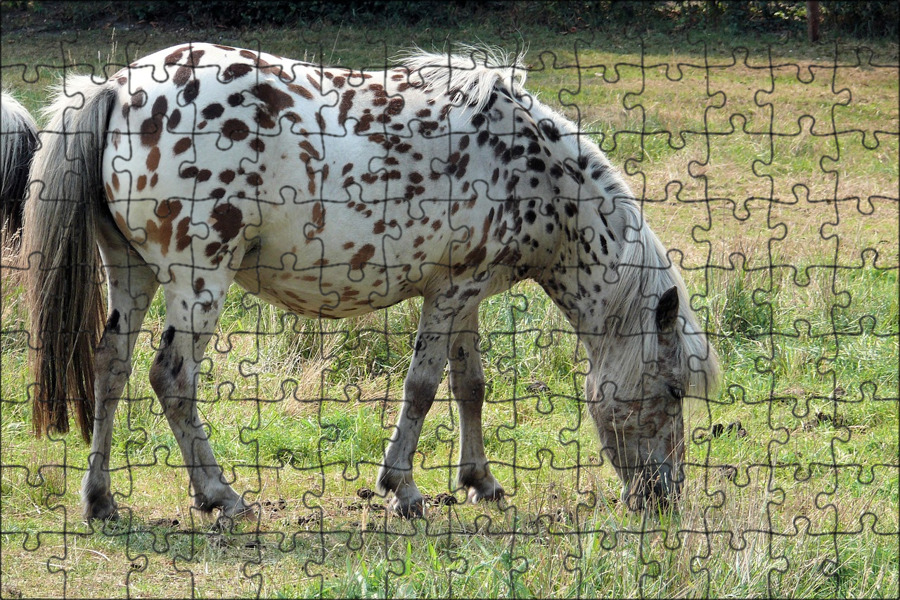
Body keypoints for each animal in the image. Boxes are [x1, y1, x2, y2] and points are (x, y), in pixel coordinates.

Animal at [24, 42, 720, 520]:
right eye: (673, 390)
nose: (665, 499)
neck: (533, 170)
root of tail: (117, 87)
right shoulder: (449, 294)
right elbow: (422, 388)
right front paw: (402, 488)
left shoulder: (463, 294)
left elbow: (470, 386)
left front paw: (480, 482)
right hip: (198, 281)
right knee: (171, 378)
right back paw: (220, 494)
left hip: (133, 274)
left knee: (110, 365)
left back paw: (100, 499)